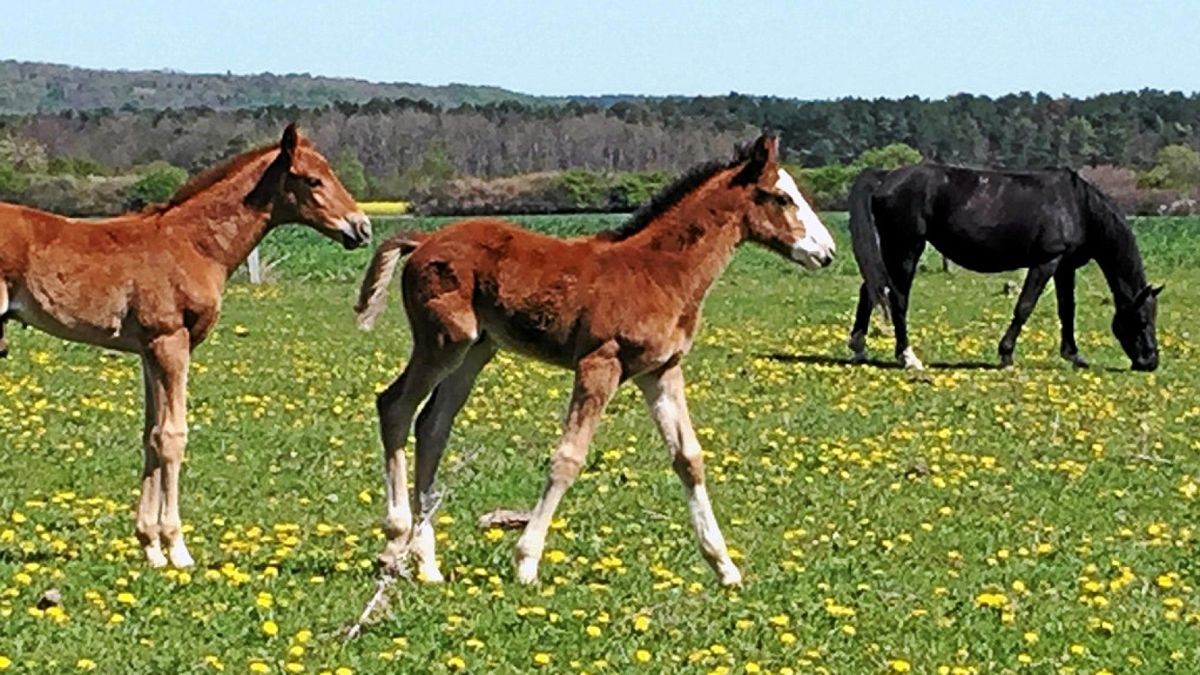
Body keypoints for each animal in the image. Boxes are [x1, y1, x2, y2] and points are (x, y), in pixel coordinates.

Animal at [0, 123, 369, 564]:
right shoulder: (170, 342)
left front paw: (149, 545)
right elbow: (173, 437)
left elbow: (151, 435)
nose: (363, 228)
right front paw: (177, 548)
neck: (193, 244)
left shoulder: (149, 351)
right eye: (313, 180)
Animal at [355, 132, 835, 583]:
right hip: (444, 341)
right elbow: (568, 456)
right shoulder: (599, 363)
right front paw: (526, 562)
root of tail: (423, 239)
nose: (826, 252)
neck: (660, 272)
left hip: (476, 349)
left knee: (432, 425)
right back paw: (395, 541)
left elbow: (689, 458)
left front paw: (725, 567)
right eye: (781, 197)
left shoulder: (662, 370)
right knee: (395, 406)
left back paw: (427, 563)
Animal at [844, 164, 1161, 369]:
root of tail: (885, 177)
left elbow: (1067, 309)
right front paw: (1006, 355)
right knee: (896, 297)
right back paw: (908, 357)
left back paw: (859, 349)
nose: (1150, 361)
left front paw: (1073, 355)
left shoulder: (1065, 266)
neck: (1077, 206)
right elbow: (1024, 306)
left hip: (892, 250)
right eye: (1142, 320)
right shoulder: (1046, 262)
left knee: (870, 289)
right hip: (906, 249)